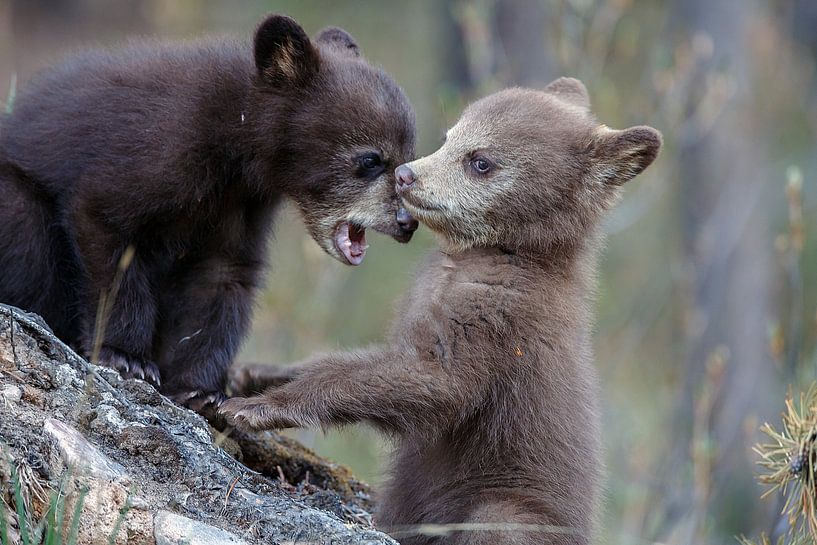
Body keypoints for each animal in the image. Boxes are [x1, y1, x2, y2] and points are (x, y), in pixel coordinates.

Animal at [0, 15, 418, 408]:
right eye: (370, 159)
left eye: (408, 161)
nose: (407, 223)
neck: (234, 144)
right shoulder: (156, 152)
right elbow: (105, 227)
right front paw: (126, 356)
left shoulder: (238, 208)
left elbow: (222, 278)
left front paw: (200, 389)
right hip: (18, 202)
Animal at [221, 78, 662, 544]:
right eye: (450, 136)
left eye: (481, 161)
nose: (405, 174)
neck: (489, 255)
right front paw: (254, 373)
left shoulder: (498, 318)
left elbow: (434, 377)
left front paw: (255, 408)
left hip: (508, 505)